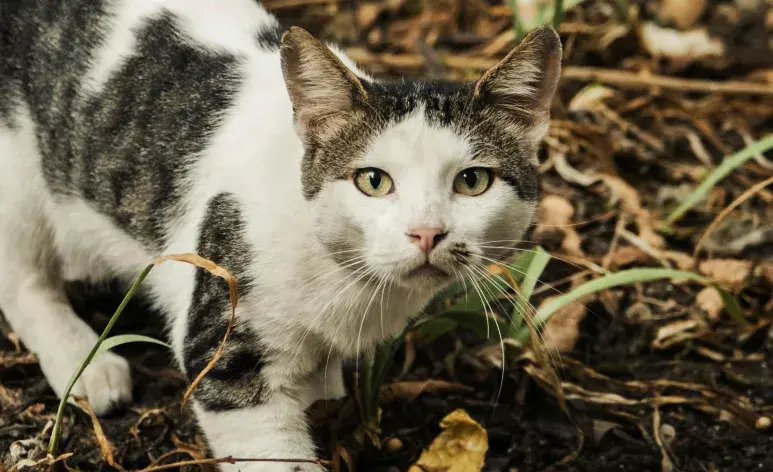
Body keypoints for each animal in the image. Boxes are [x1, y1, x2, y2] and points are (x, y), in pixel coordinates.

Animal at [0, 1, 556, 470]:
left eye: (473, 181)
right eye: (373, 181)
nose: (426, 233)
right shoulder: (226, 345)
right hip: (18, 183)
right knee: (22, 282)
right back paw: (85, 363)